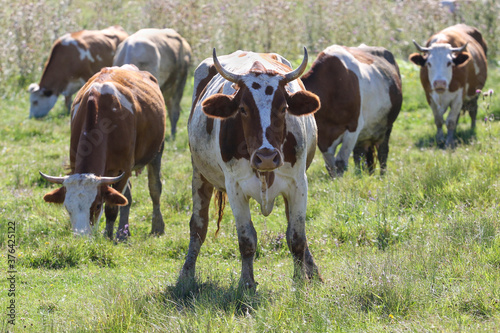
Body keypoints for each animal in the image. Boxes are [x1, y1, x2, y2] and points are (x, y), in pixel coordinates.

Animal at [39, 64, 166, 239]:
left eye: (97, 205)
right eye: (67, 207)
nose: (81, 238)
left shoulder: (123, 170)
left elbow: (112, 207)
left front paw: (108, 236)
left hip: (156, 151)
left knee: (154, 189)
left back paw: (157, 227)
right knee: (127, 197)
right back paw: (124, 232)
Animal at [178, 47, 322, 288]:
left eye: (283, 108)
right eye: (243, 109)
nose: (266, 157)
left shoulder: (298, 184)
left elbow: (297, 236)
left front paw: (301, 280)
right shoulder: (235, 188)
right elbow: (246, 240)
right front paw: (246, 282)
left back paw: (312, 271)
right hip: (199, 173)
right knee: (198, 226)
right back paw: (186, 273)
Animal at [300, 45, 402, 178]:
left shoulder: (354, 127)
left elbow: (340, 162)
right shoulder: (322, 136)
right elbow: (330, 166)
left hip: (386, 126)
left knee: (382, 152)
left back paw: (382, 177)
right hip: (365, 134)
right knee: (361, 156)